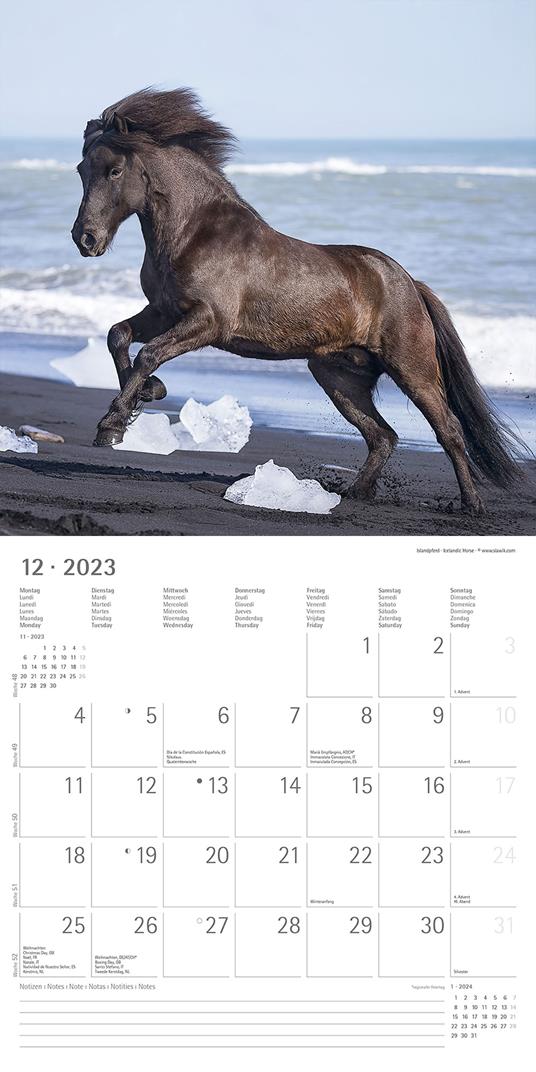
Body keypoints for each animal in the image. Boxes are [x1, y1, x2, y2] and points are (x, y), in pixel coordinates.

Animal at [72, 87, 524, 513]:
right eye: (81, 169)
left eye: (114, 170)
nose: (85, 239)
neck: (194, 232)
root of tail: (410, 283)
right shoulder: (163, 310)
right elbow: (119, 336)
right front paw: (148, 395)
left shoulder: (208, 321)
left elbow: (149, 352)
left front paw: (113, 423)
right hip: (338, 376)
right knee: (383, 435)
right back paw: (353, 493)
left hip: (412, 369)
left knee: (447, 429)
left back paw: (471, 505)